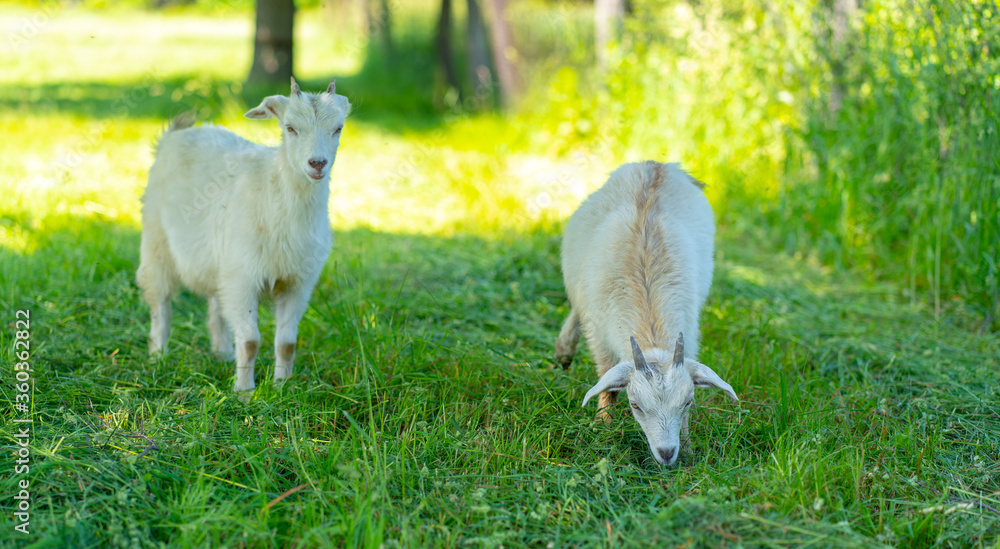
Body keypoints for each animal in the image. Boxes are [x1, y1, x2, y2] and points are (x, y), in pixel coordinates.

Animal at [136, 77, 349, 392]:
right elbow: (250, 342)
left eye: (338, 128)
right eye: (290, 127)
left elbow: (287, 343)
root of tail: (175, 135)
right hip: (156, 242)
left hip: (219, 263)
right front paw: (244, 393)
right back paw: (158, 356)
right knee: (159, 303)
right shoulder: (244, 279)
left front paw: (282, 387)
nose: (317, 164)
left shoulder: (297, 283)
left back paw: (222, 353)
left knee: (217, 305)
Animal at [555, 161, 738, 466]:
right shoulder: (599, 334)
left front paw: (687, 449)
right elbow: (607, 384)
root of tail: (656, 165)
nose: (666, 453)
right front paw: (603, 428)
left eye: (687, 401)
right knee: (576, 308)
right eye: (635, 405)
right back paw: (563, 352)